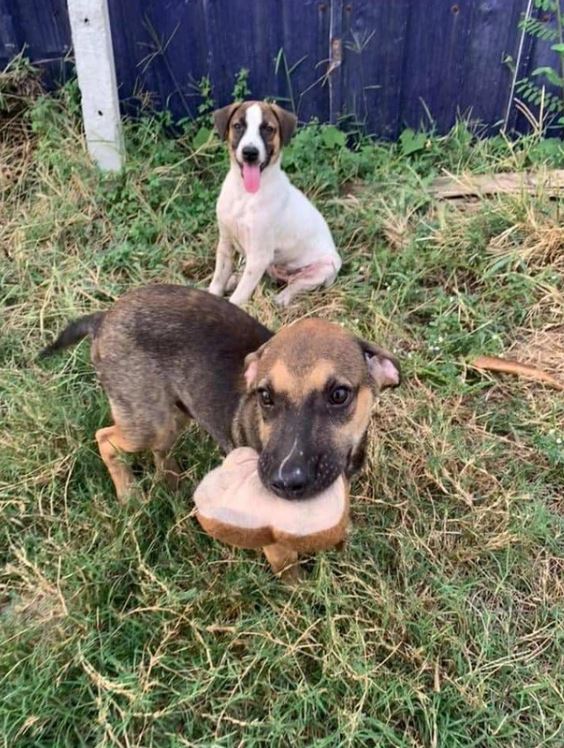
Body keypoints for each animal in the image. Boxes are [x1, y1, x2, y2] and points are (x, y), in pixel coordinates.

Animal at [40, 284, 400, 576]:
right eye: (265, 396)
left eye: (339, 395)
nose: (285, 482)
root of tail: (103, 317)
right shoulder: (271, 536)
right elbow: (288, 567)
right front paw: (303, 598)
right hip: (146, 422)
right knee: (104, 439)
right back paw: (129, 493)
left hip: (174, 414)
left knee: (160, 450)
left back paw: (171, 482)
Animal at [207, 100, 340, 306]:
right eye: (238, 126)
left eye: (268, 129)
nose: (250, 153)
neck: (245, 195)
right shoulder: (226, 244)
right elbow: (218, 280)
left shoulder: (259, 256)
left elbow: (238, 297)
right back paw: (234, 279)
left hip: (326, 267)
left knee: (296, 285)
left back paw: (282, 298)